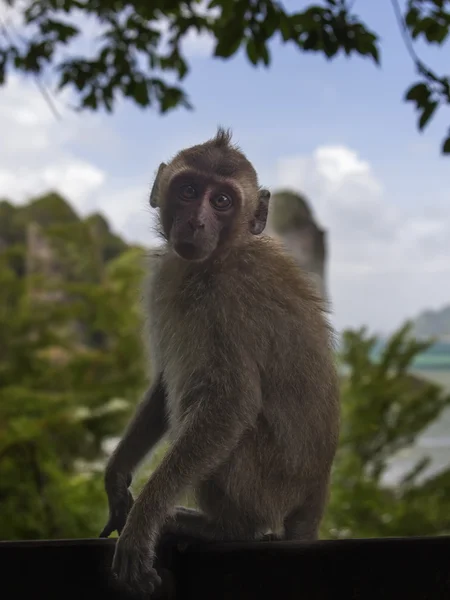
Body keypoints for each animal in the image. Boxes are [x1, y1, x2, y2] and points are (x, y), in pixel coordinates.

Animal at [100, 126, 342, 596]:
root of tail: (316, 492)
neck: (221, 256)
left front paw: (142, 523)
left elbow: (232, 404)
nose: (196, 222)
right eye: (190, 191)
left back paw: (227, 528)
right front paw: (117, 478)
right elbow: (163, 385)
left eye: (223, 201)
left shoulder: (228, 304)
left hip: (265, 485)